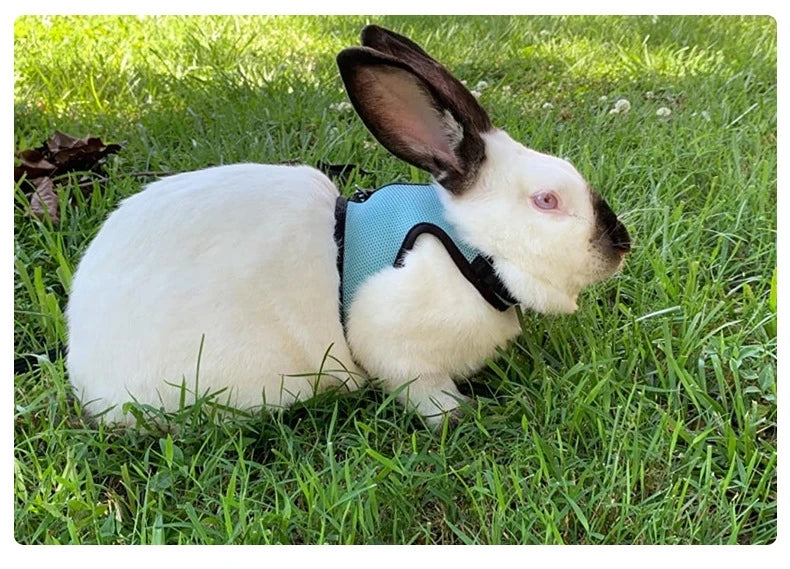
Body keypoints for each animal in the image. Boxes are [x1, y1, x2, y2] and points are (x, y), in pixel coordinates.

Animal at [66, 25, 630, 428]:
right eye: (547, 200)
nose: (621, 243)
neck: (470, 250)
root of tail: (85, 366)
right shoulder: (401, 352)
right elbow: (424, 392)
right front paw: (459, 416)